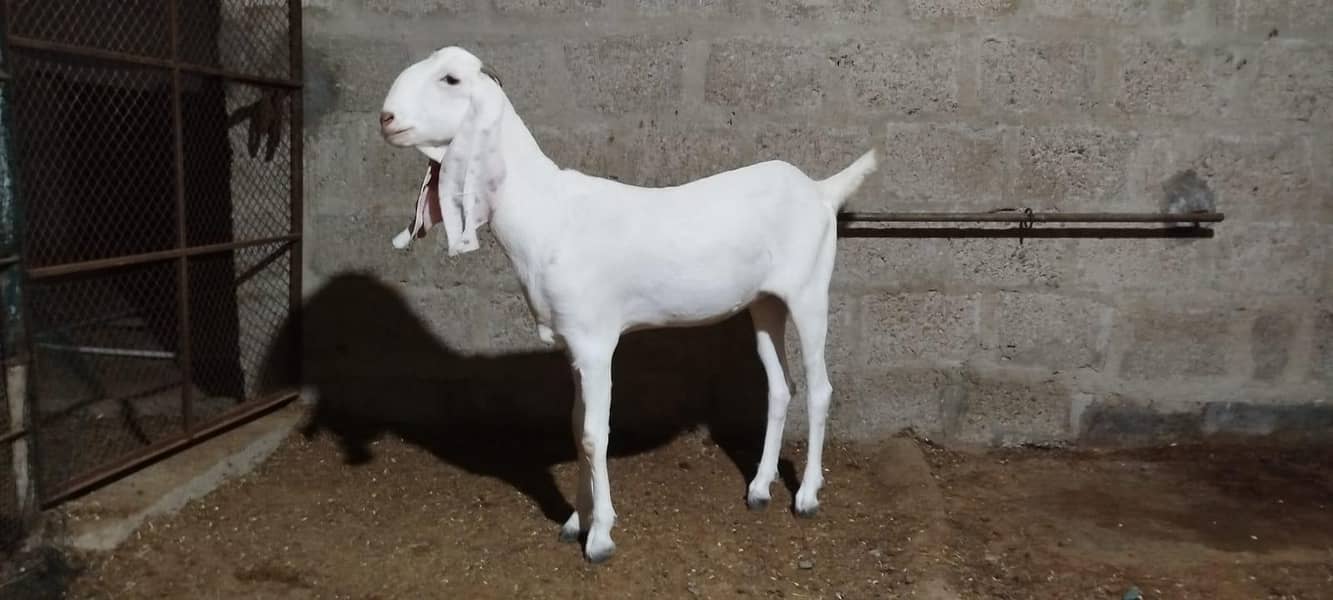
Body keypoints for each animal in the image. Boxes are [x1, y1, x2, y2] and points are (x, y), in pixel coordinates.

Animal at [378, 46, 878, 563]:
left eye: (451, 79)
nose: (386, 119)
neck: (549, 213)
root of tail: (821, 190)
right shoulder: (573, 345)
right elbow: (576, 427)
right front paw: (575, 522)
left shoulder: (597, 344)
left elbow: (595, 434)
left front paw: (600, 536)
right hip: (765, 303)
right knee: (781, 386)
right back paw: (759, 489)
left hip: (810, 291)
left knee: (820, 389)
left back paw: (807, 496)